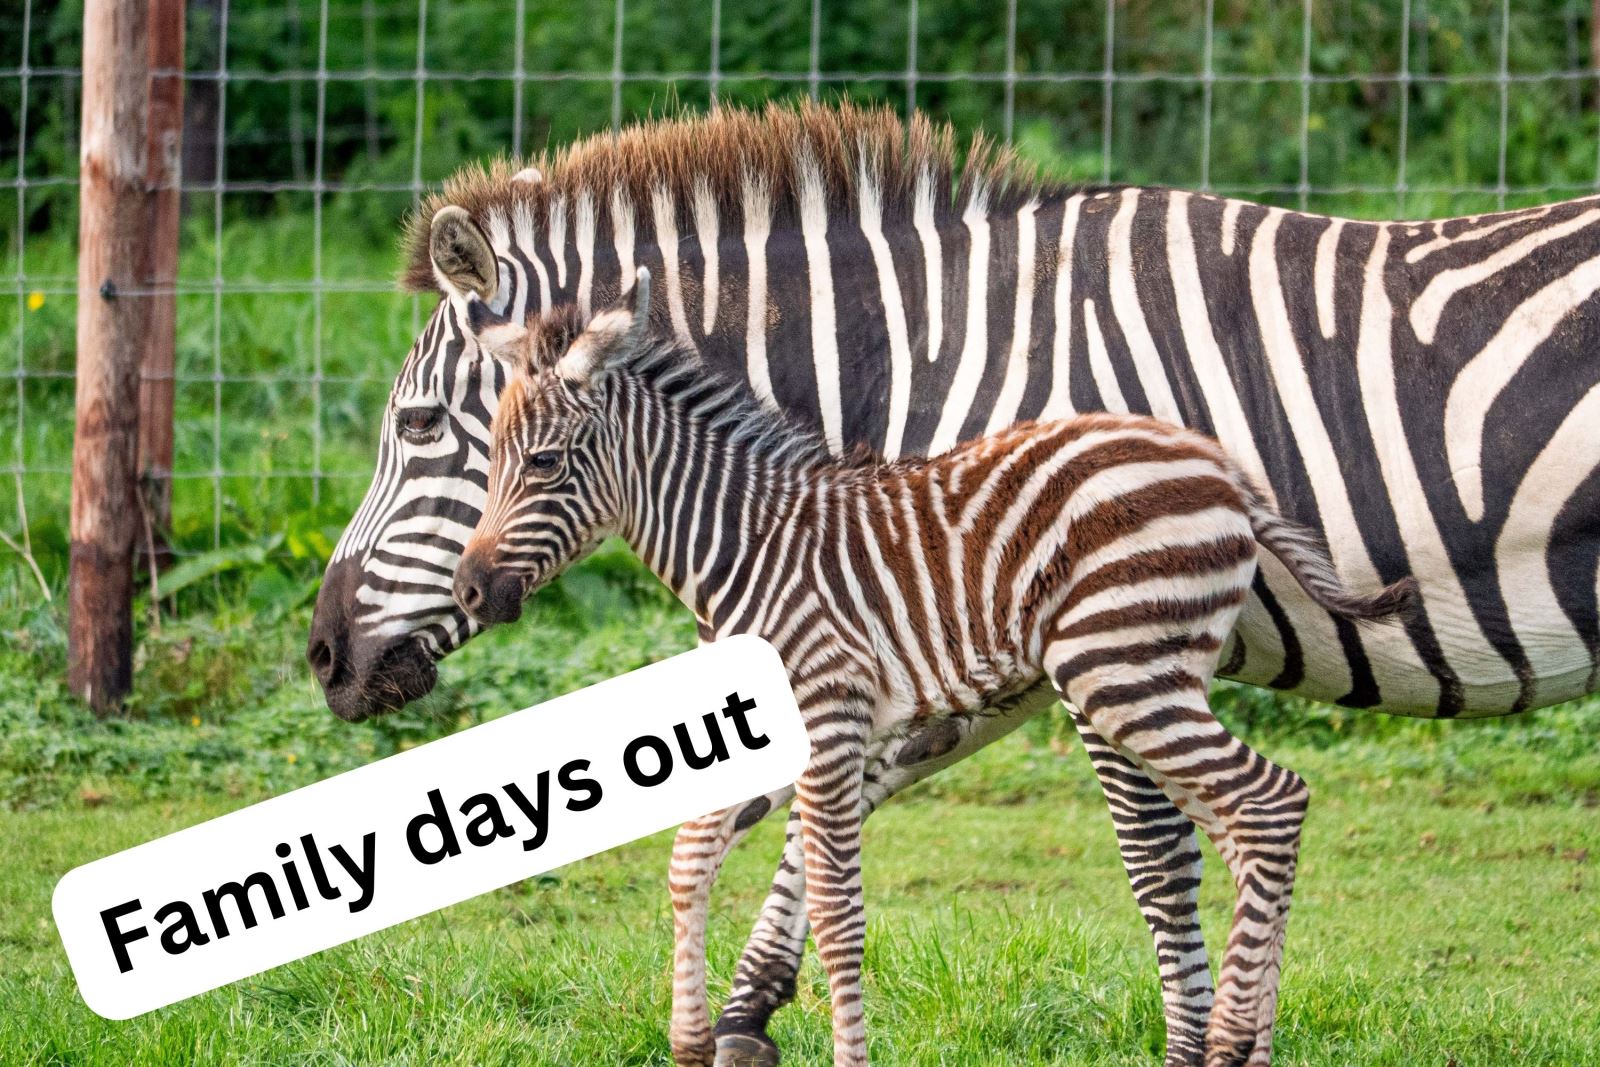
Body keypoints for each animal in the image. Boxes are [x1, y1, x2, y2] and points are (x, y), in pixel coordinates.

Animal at [451, 268, 1414, 1067]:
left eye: (542, 462)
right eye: (490, 459)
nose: (468, 589)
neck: (749, 546)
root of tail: (1219, 466)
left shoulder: (829, 714)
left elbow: (836, 913)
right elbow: (692, 855)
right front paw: (689, 1041)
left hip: (1121, 670)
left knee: (1269, 804)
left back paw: (1226, 1043)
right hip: (1154, 674)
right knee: (1247, 827)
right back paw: (1251, 1044)